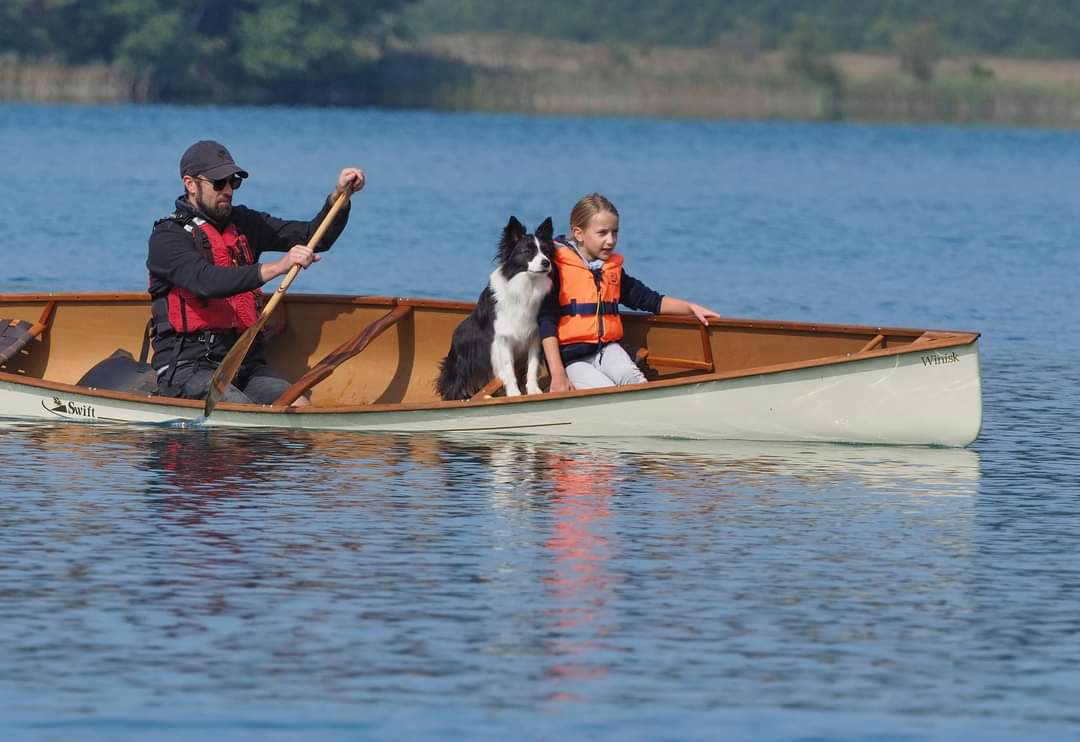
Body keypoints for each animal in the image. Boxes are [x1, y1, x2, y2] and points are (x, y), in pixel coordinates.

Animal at [438, 216, 557, 399]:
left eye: (546, 251)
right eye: (527, 252)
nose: (546, 262)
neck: (527, 285)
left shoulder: (534, 335)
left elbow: (532, 365)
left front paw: (533, 390)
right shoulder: (503, 338)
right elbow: (508, 368)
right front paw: (514, 393)